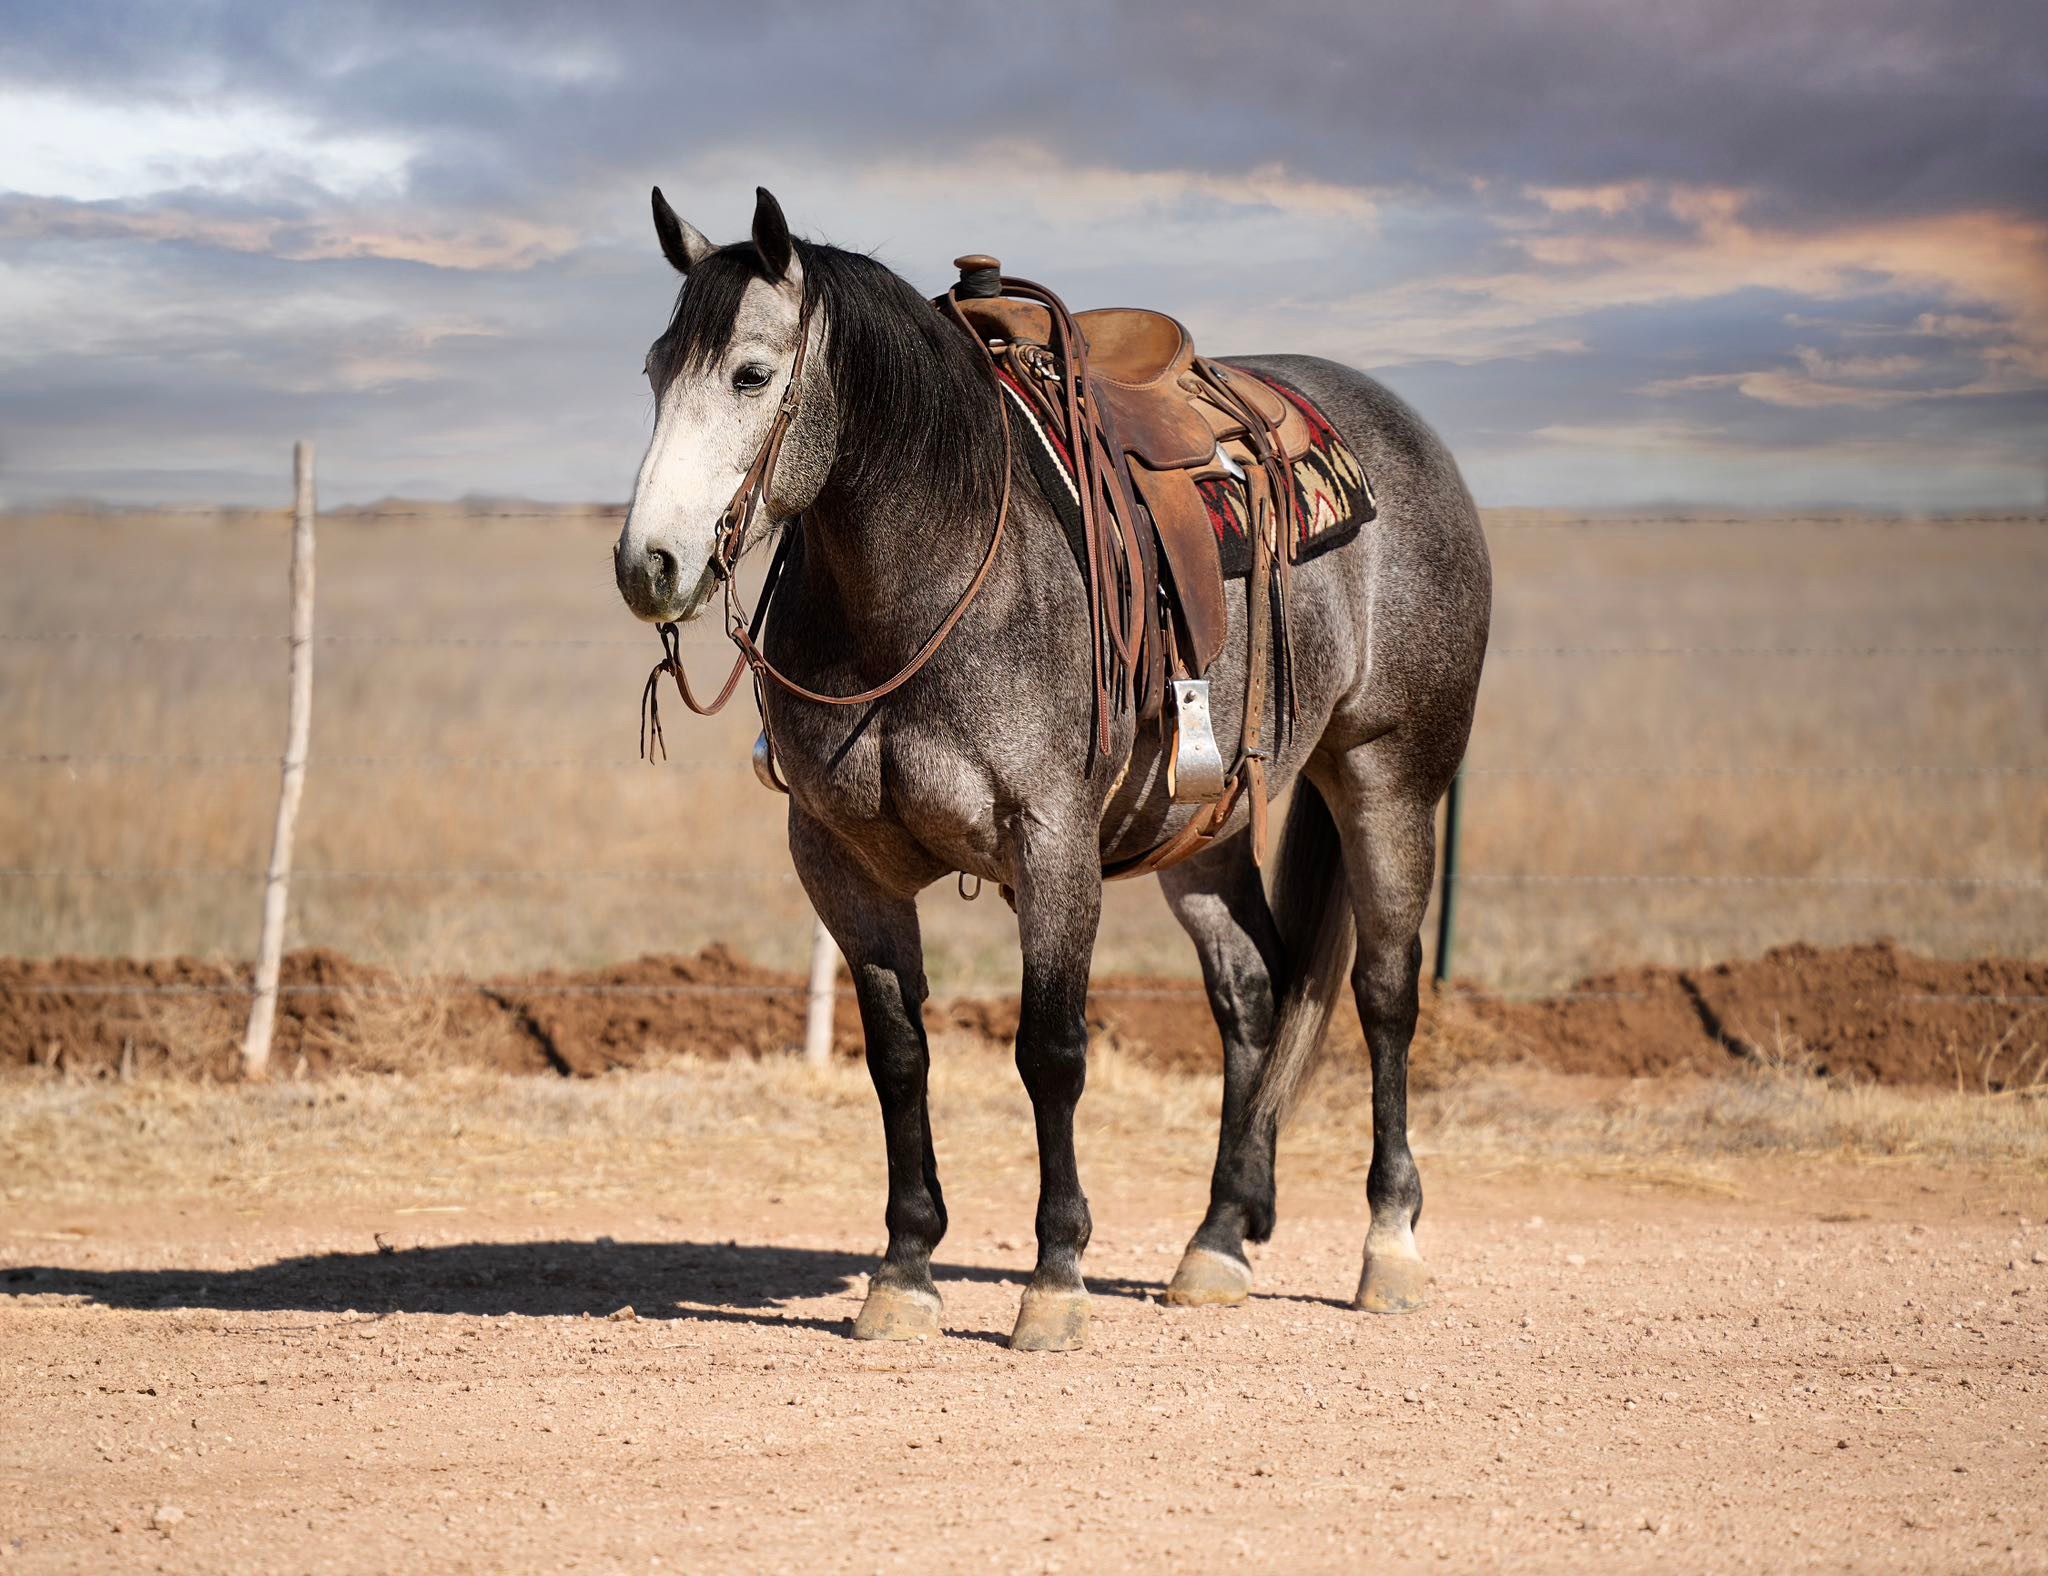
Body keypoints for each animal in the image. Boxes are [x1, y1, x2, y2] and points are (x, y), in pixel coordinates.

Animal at [613, 186, 1491, 1351]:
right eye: (655, 371)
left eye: (752, 374)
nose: (648, 564)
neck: (921, 590)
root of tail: (1409, 440)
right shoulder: (838, 858)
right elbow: (897, 1055)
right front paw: (903, 1272)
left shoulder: (1053, 843)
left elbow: (1050, 1050)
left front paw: (1055, 1278)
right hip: (1198, 832)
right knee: (1254, 994)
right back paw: (1217, 1239)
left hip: (1389, 776)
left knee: (1384, 991)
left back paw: (1388, 1244)